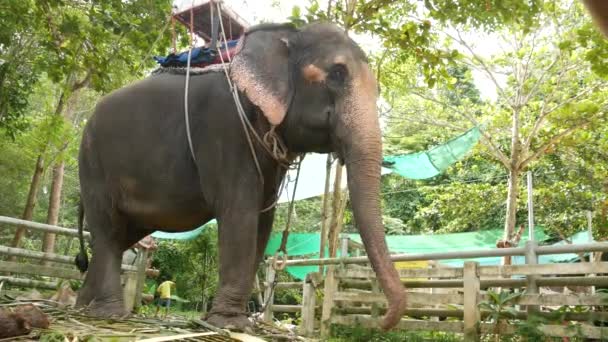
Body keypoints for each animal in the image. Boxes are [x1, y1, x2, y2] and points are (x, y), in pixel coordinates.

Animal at [76, 22, 406, 332]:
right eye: (337, 73)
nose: (381, 321)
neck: (287, 35)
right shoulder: (225, 128)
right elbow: (239, 210)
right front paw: (231, 324)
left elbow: (264, 219)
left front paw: (229, 320)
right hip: (93, 163)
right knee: (107, 228)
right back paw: (110, 313)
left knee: (120, 235)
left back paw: (83, 307)